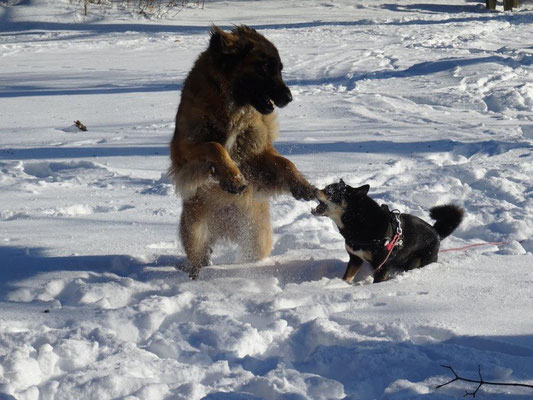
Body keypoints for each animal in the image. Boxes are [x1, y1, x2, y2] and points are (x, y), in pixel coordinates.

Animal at [169, 25, 316, 280]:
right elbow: (215, 146)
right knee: (197, 260)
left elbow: (285, 163)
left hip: (256, 238)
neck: (230, 107)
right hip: (195, 233)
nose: (289, 98)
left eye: (280, 69)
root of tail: (223, 226)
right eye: (265, 67)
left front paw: (302, 185)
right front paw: (233, 178)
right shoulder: (183, 153)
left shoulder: (255, 155)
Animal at [312, 180, 462, 282]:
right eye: (326, 188)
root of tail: (436, 232)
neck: (359, 222)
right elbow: (347, 277)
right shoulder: (355, 259)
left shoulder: (382, 266)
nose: (314, 189)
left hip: (420, 260)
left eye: (332, 193)